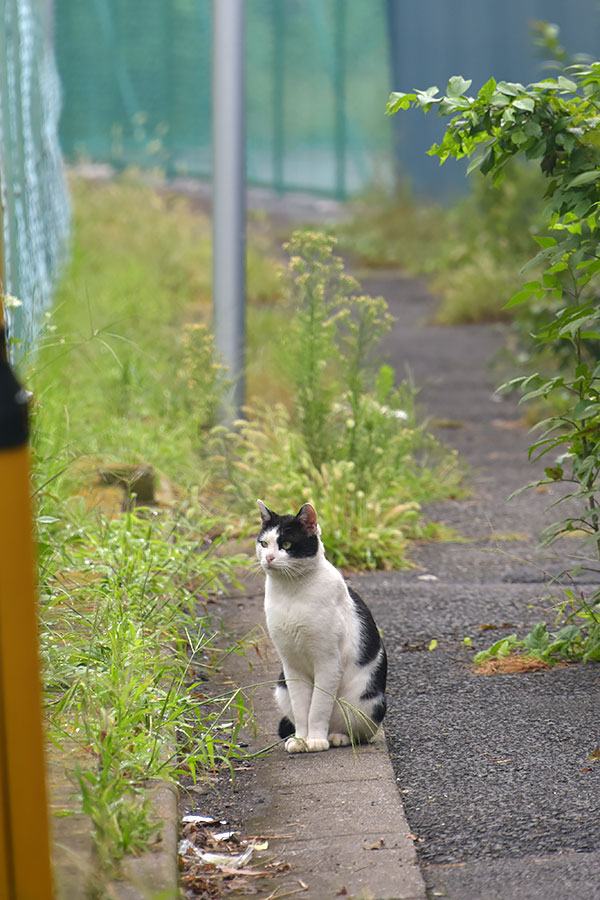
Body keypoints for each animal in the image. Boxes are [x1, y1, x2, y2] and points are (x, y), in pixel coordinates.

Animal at [254, 500, 386, 752]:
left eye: (286, 544)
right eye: (264, 543)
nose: (269, 558)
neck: (291, 592)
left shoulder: (328, 662)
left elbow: (318, 706)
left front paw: (315, 740)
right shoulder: (291, 664)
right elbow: (301, 708)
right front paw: (301, 740)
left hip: (368, 701)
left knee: (356, 732)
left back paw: (336, 737)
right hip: (281, 687)